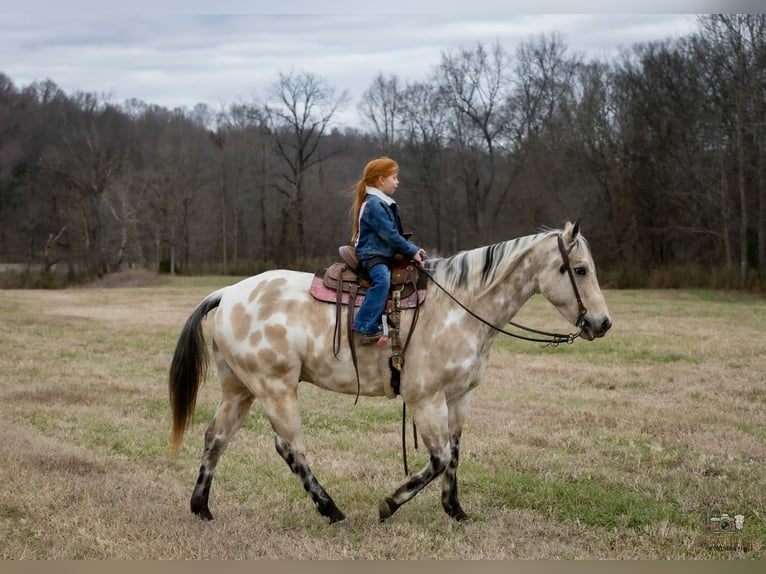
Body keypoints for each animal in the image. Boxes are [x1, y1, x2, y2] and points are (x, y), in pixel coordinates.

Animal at [168, 221, 612, 524]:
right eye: (580, 269)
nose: (603, 323)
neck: (461, 306)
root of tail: (228, 293)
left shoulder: (459, 396)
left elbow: (454, 454)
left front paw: (455, 510)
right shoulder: (425, 399)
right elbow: (438, 458)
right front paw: (389, 504)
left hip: (239, 389)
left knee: (216, 438)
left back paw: (201, 507)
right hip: (275, 388)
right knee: (290, 448)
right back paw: (331, 510)